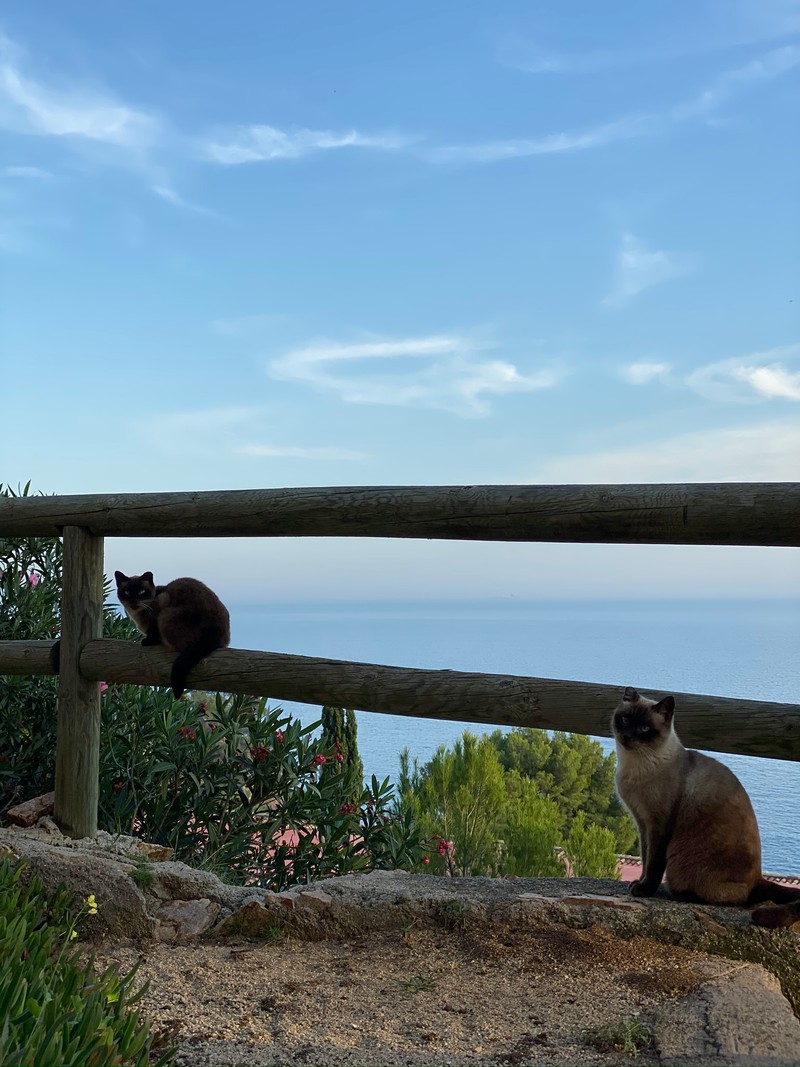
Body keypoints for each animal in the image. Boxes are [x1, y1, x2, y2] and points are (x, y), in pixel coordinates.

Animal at [114, 567, 230, 699]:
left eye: (141, 592)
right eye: (127, 592)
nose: (134, 601)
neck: (137, 615)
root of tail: (217, 633)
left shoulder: (160, 605)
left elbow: (152, 632)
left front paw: (147, 641)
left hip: (165, 616)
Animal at [618, 687, 797, 930]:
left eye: (645, 728)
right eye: (625, 720)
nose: (627, 736)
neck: (634, 767)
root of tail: (758, 878)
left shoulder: (658, 826)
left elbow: (653, 864)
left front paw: (644, 890)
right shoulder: (642, 824)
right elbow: (645, 859)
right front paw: (639, 883)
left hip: (682, 863)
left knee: (735, 899)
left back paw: (679, 893)